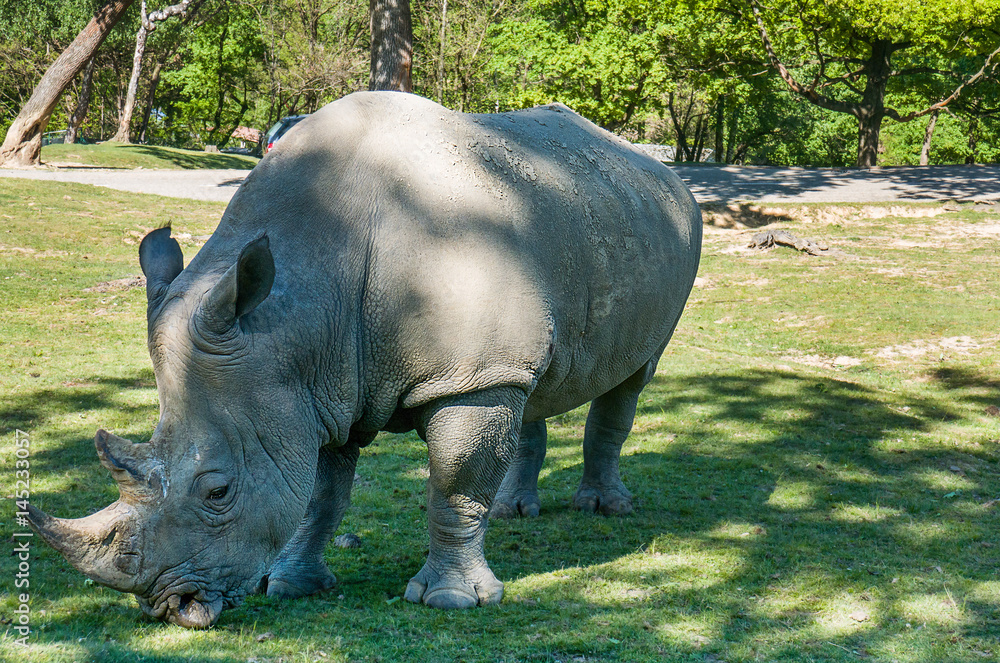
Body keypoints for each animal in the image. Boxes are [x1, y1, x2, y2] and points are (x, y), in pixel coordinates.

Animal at [28, 91, 702, 628]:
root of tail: (664, 172)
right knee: (533, 385)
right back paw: (516, 513)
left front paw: (452, 601)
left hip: (666, 230)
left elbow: (455, 482)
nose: (170, 607)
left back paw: (605, 508)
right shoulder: (317, 387)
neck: (296, 311)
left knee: (630, 381)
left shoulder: (462, 381)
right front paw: (290, 585)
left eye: (218, 491)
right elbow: (321, 494)